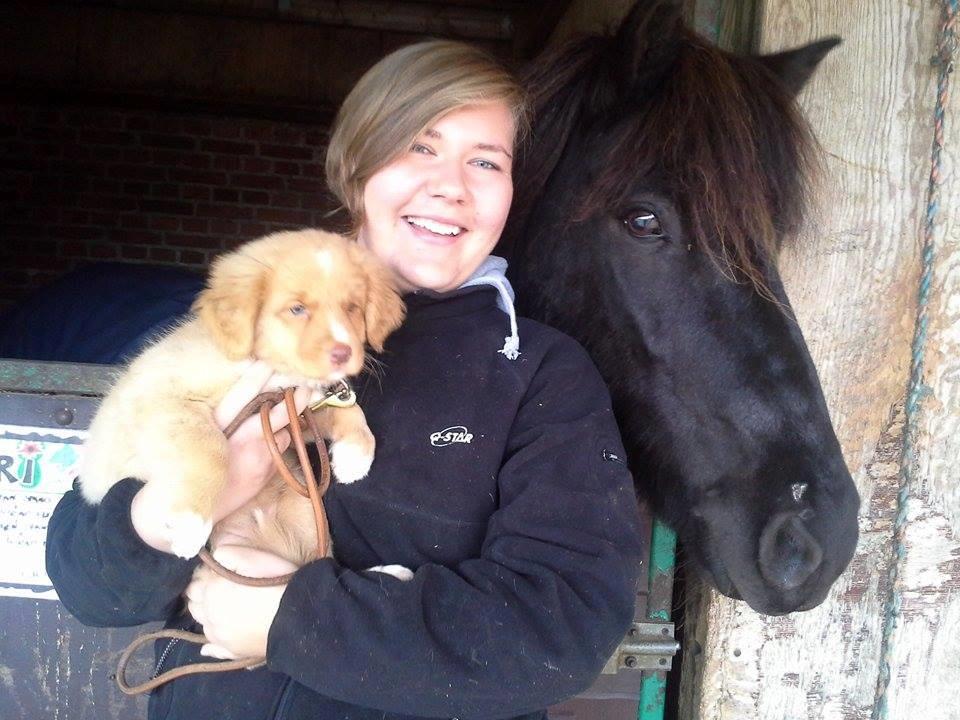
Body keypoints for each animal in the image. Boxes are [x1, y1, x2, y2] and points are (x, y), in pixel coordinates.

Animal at [77, 228, 404, 560]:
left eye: (352, 308)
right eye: (297, 309)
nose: (343, 353)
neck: (275, 371)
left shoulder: (297, 414)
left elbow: (350, 411)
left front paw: (355, 455)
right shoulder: (163, 399)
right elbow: (213, 448)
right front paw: (190, 521)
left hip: (307, 515)